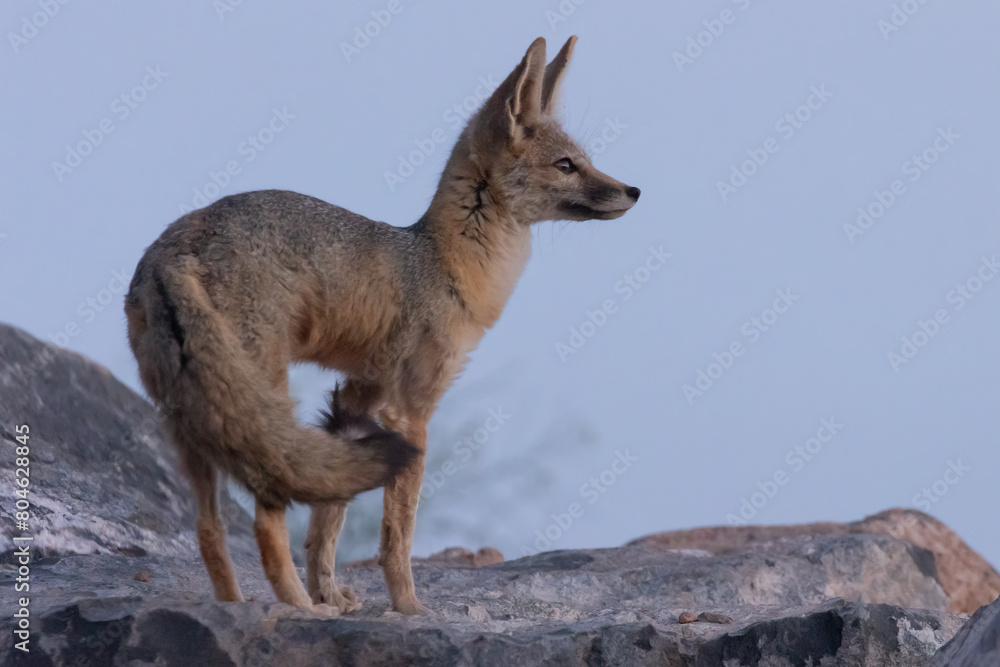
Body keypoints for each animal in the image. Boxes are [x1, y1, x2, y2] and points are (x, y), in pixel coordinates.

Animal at [124, 35, 639, 616]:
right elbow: (398, 532)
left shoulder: (355, 399)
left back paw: (239, 607)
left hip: (194, 423)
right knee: (263, 522)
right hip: (259, 402)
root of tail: (175, 246)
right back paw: (298, 609)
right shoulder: (411, 410)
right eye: (567, 165)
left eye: (587, 161)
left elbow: (327, 521)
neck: (443, 261)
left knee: (209, 528)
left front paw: (331, 591)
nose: (634, 190)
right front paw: (408, 608)